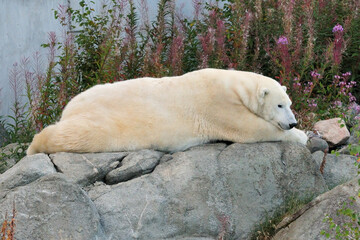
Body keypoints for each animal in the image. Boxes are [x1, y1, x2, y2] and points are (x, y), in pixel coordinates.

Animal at [26, 68, 306, 155]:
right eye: (280, 105)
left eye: (290, 103)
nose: (292, 123)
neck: (235, 85)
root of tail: (69, 108)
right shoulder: (219, 104)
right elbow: (251, 128)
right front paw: (302, 136)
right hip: (105, 123)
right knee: (77, 134)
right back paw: (34, 145)